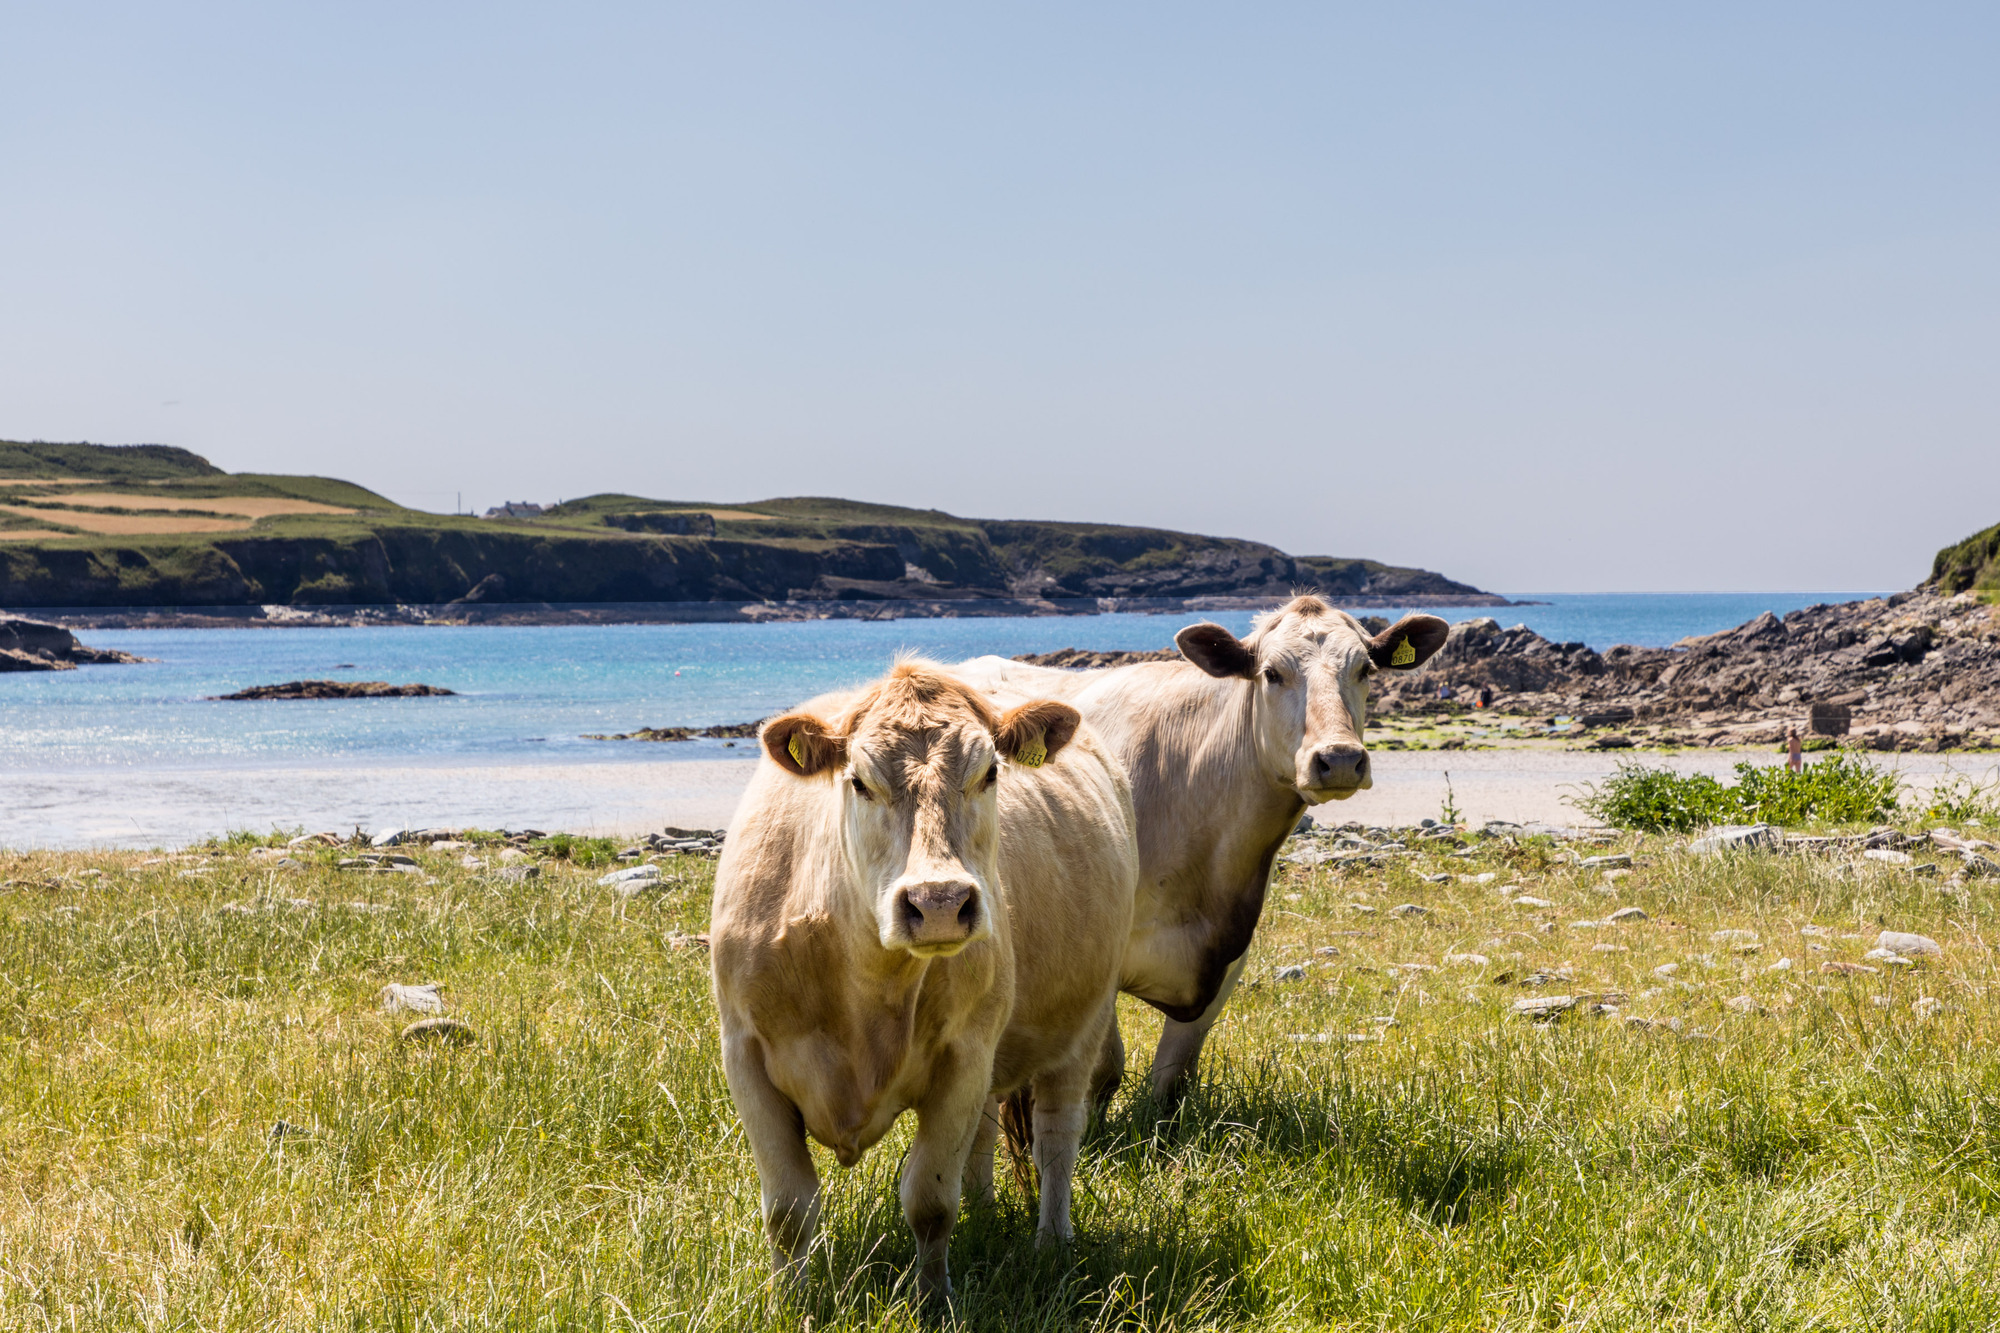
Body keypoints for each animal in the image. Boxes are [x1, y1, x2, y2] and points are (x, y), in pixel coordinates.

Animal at [710, 661, 1138, 1300]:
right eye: (859, 781)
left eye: (990, 773)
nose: (938, 902)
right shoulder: (745, 1054)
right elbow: (788, 1210)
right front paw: (794, 1302)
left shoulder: (964, 1055)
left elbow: (931, 1201)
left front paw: (933, 1300)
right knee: (986, 1133)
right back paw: (987, 1212)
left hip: (1081, 1024)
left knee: (1057, 1137)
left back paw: (1052, 1244)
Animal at [957, 595, 1448, 1104]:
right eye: (1272, 673)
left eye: (1365, 670)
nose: (1340, 759)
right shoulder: (1098, 953)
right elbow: (1104, 1070)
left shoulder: (1230, 954)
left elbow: (1174, 1076)